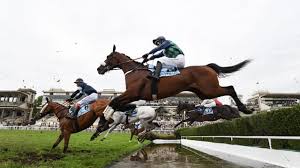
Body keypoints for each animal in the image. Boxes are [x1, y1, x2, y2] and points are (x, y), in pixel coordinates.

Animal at [97, 45, 252, 115]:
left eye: (108, 57)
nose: (99, 68)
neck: (135, 72)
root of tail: (207, 67)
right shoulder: (133, 96)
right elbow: (116, 102)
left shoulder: (133, 93)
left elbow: (113, 101)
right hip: (204, 93)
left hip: (210, 89)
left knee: (230, 88)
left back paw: (244, 109)